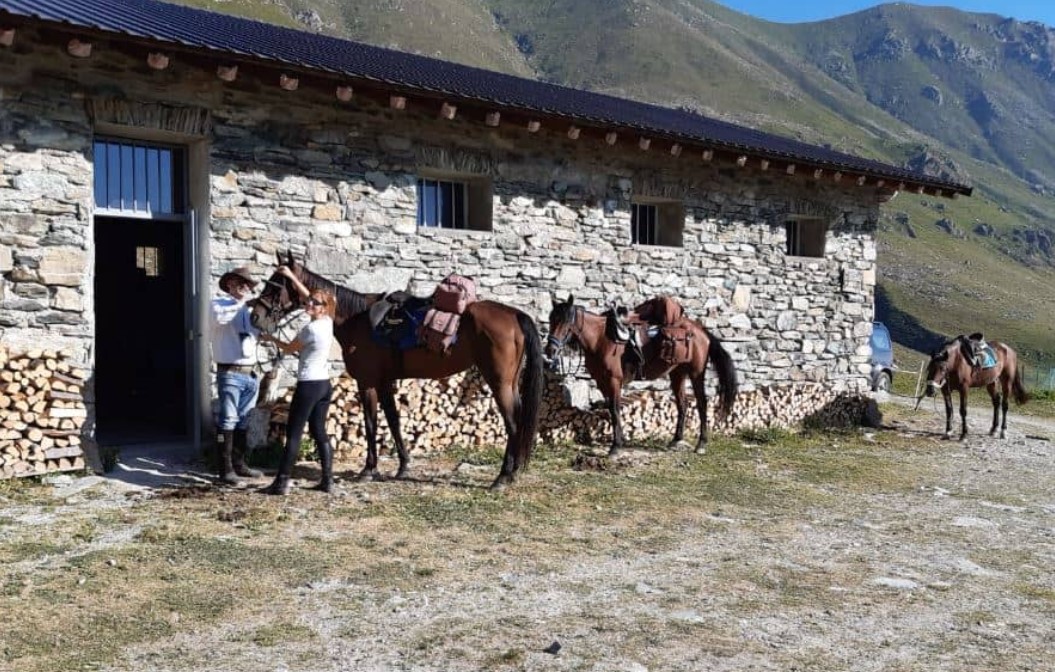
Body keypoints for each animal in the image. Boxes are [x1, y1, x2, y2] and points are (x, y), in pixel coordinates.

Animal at [249, 253, 544, 490]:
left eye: (277, 284)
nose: (256, 317)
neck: (356, 318)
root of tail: (514, 315)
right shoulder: (385, 382)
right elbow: (393, 421)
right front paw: (403, 465)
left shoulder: (367, 382)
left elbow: (371, 424)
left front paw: (369, 469)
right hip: (510, 383)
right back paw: (512, 472)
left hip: (499, 383)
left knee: (513, 424)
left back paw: (502, 478)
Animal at [544, 294, 737, 455]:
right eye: (551, 320)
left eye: (566, 322)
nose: (550, 350)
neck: (601, 340)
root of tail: (701, 331)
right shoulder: (602, 382)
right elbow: (611, 410)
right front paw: (619, 442)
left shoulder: (614, 381)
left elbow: (615, 409)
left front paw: (615, 447)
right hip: (678, 374)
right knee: (682, 404)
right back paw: (676, 440)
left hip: (696, 373)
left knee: (702, 403)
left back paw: (701, 444)